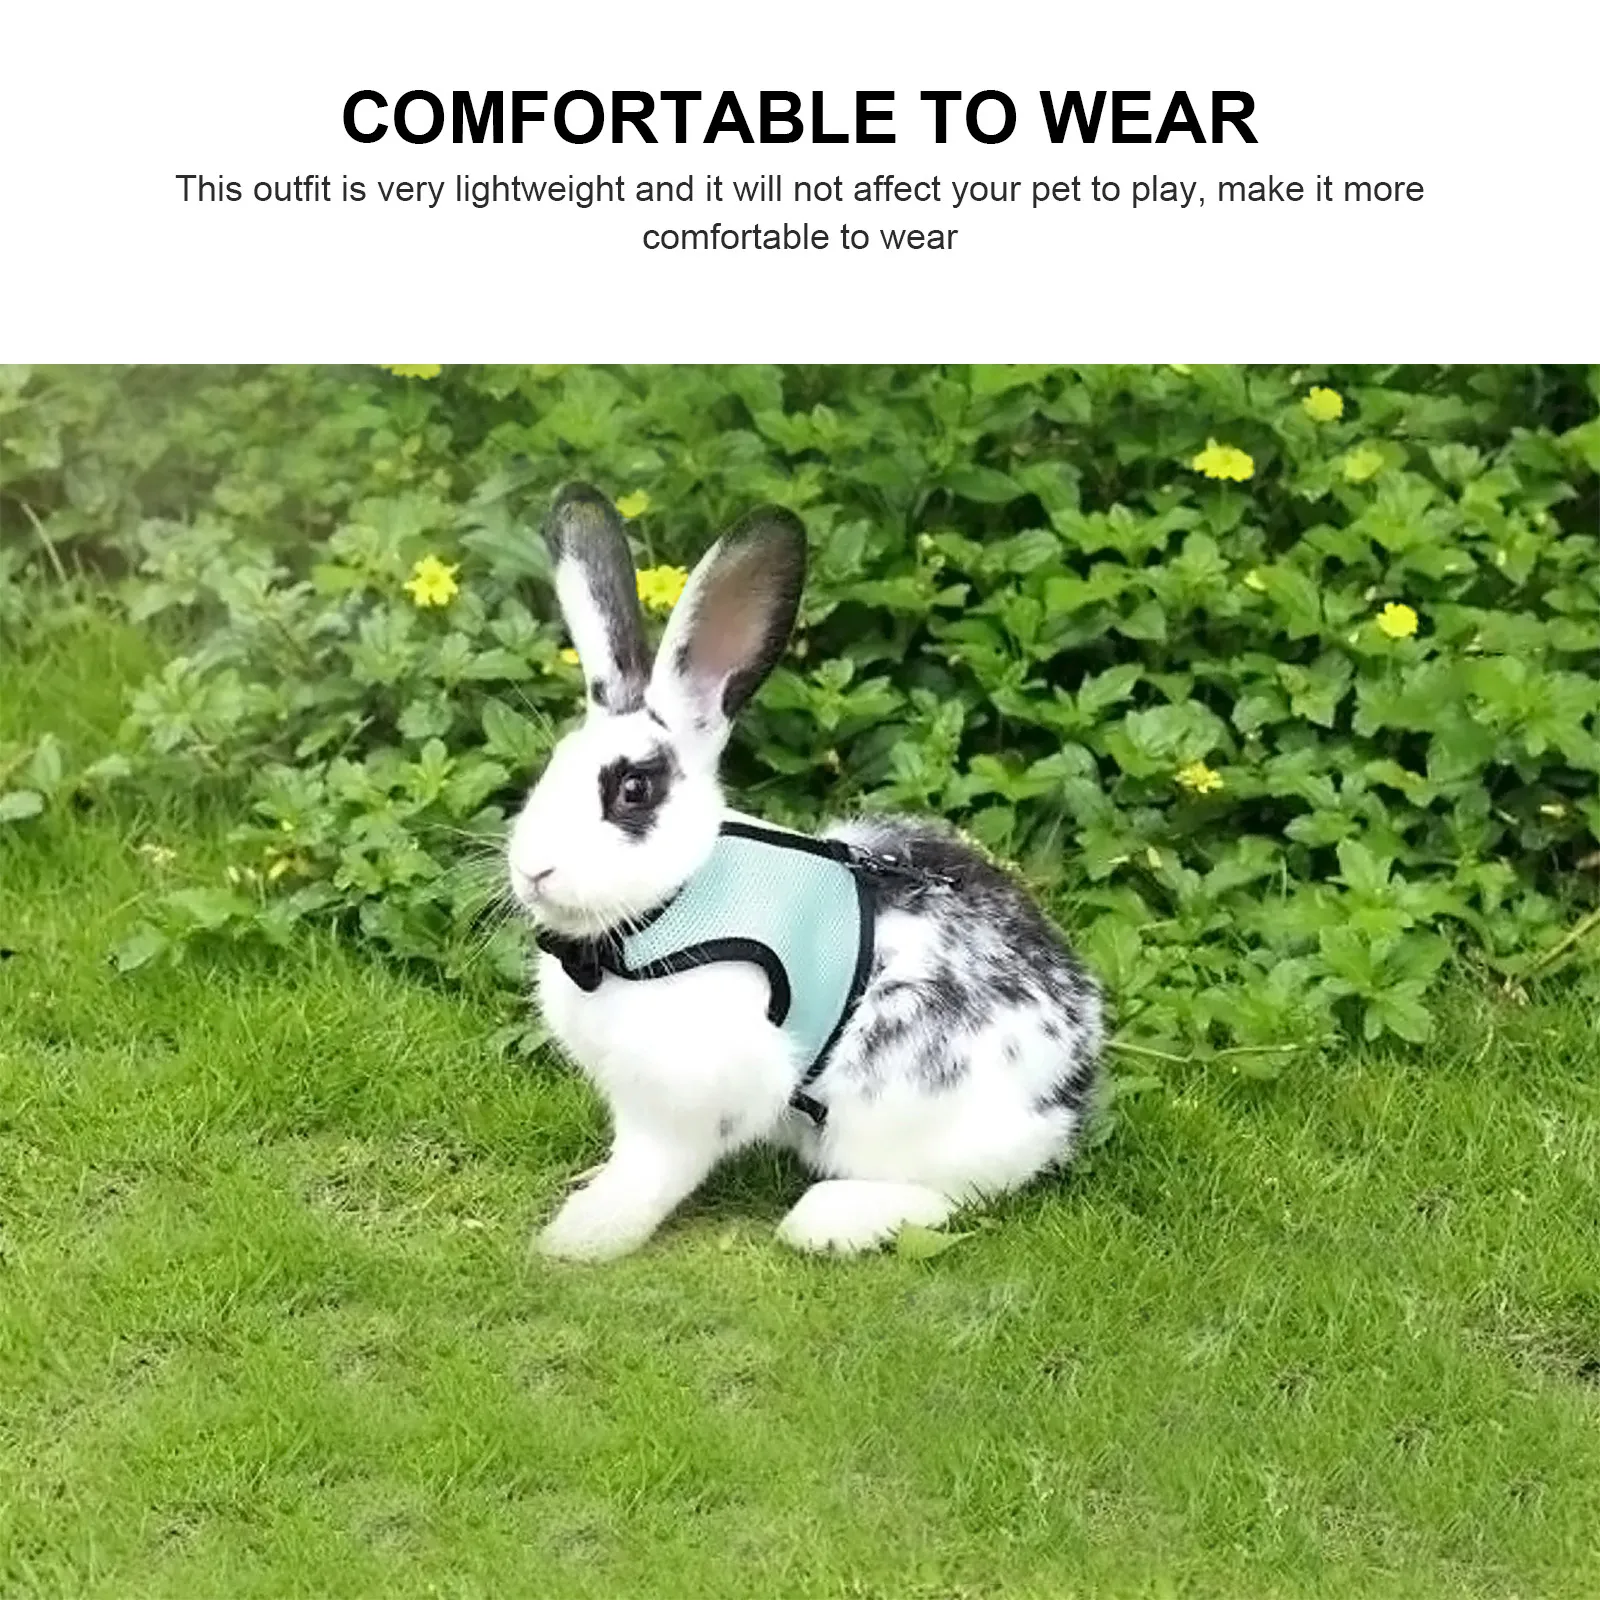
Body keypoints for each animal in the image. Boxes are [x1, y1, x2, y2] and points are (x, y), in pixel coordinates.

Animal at [507, 482, 1103, 1260]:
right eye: (551, 768)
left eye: (632, 790)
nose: (532, 869)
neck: (664, 912)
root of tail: (1070, 1090)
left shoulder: (693, 1101)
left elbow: (650, 1173)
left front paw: (578, 1239)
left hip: (901, 1116)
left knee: (954, 1197)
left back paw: (828, 1220)